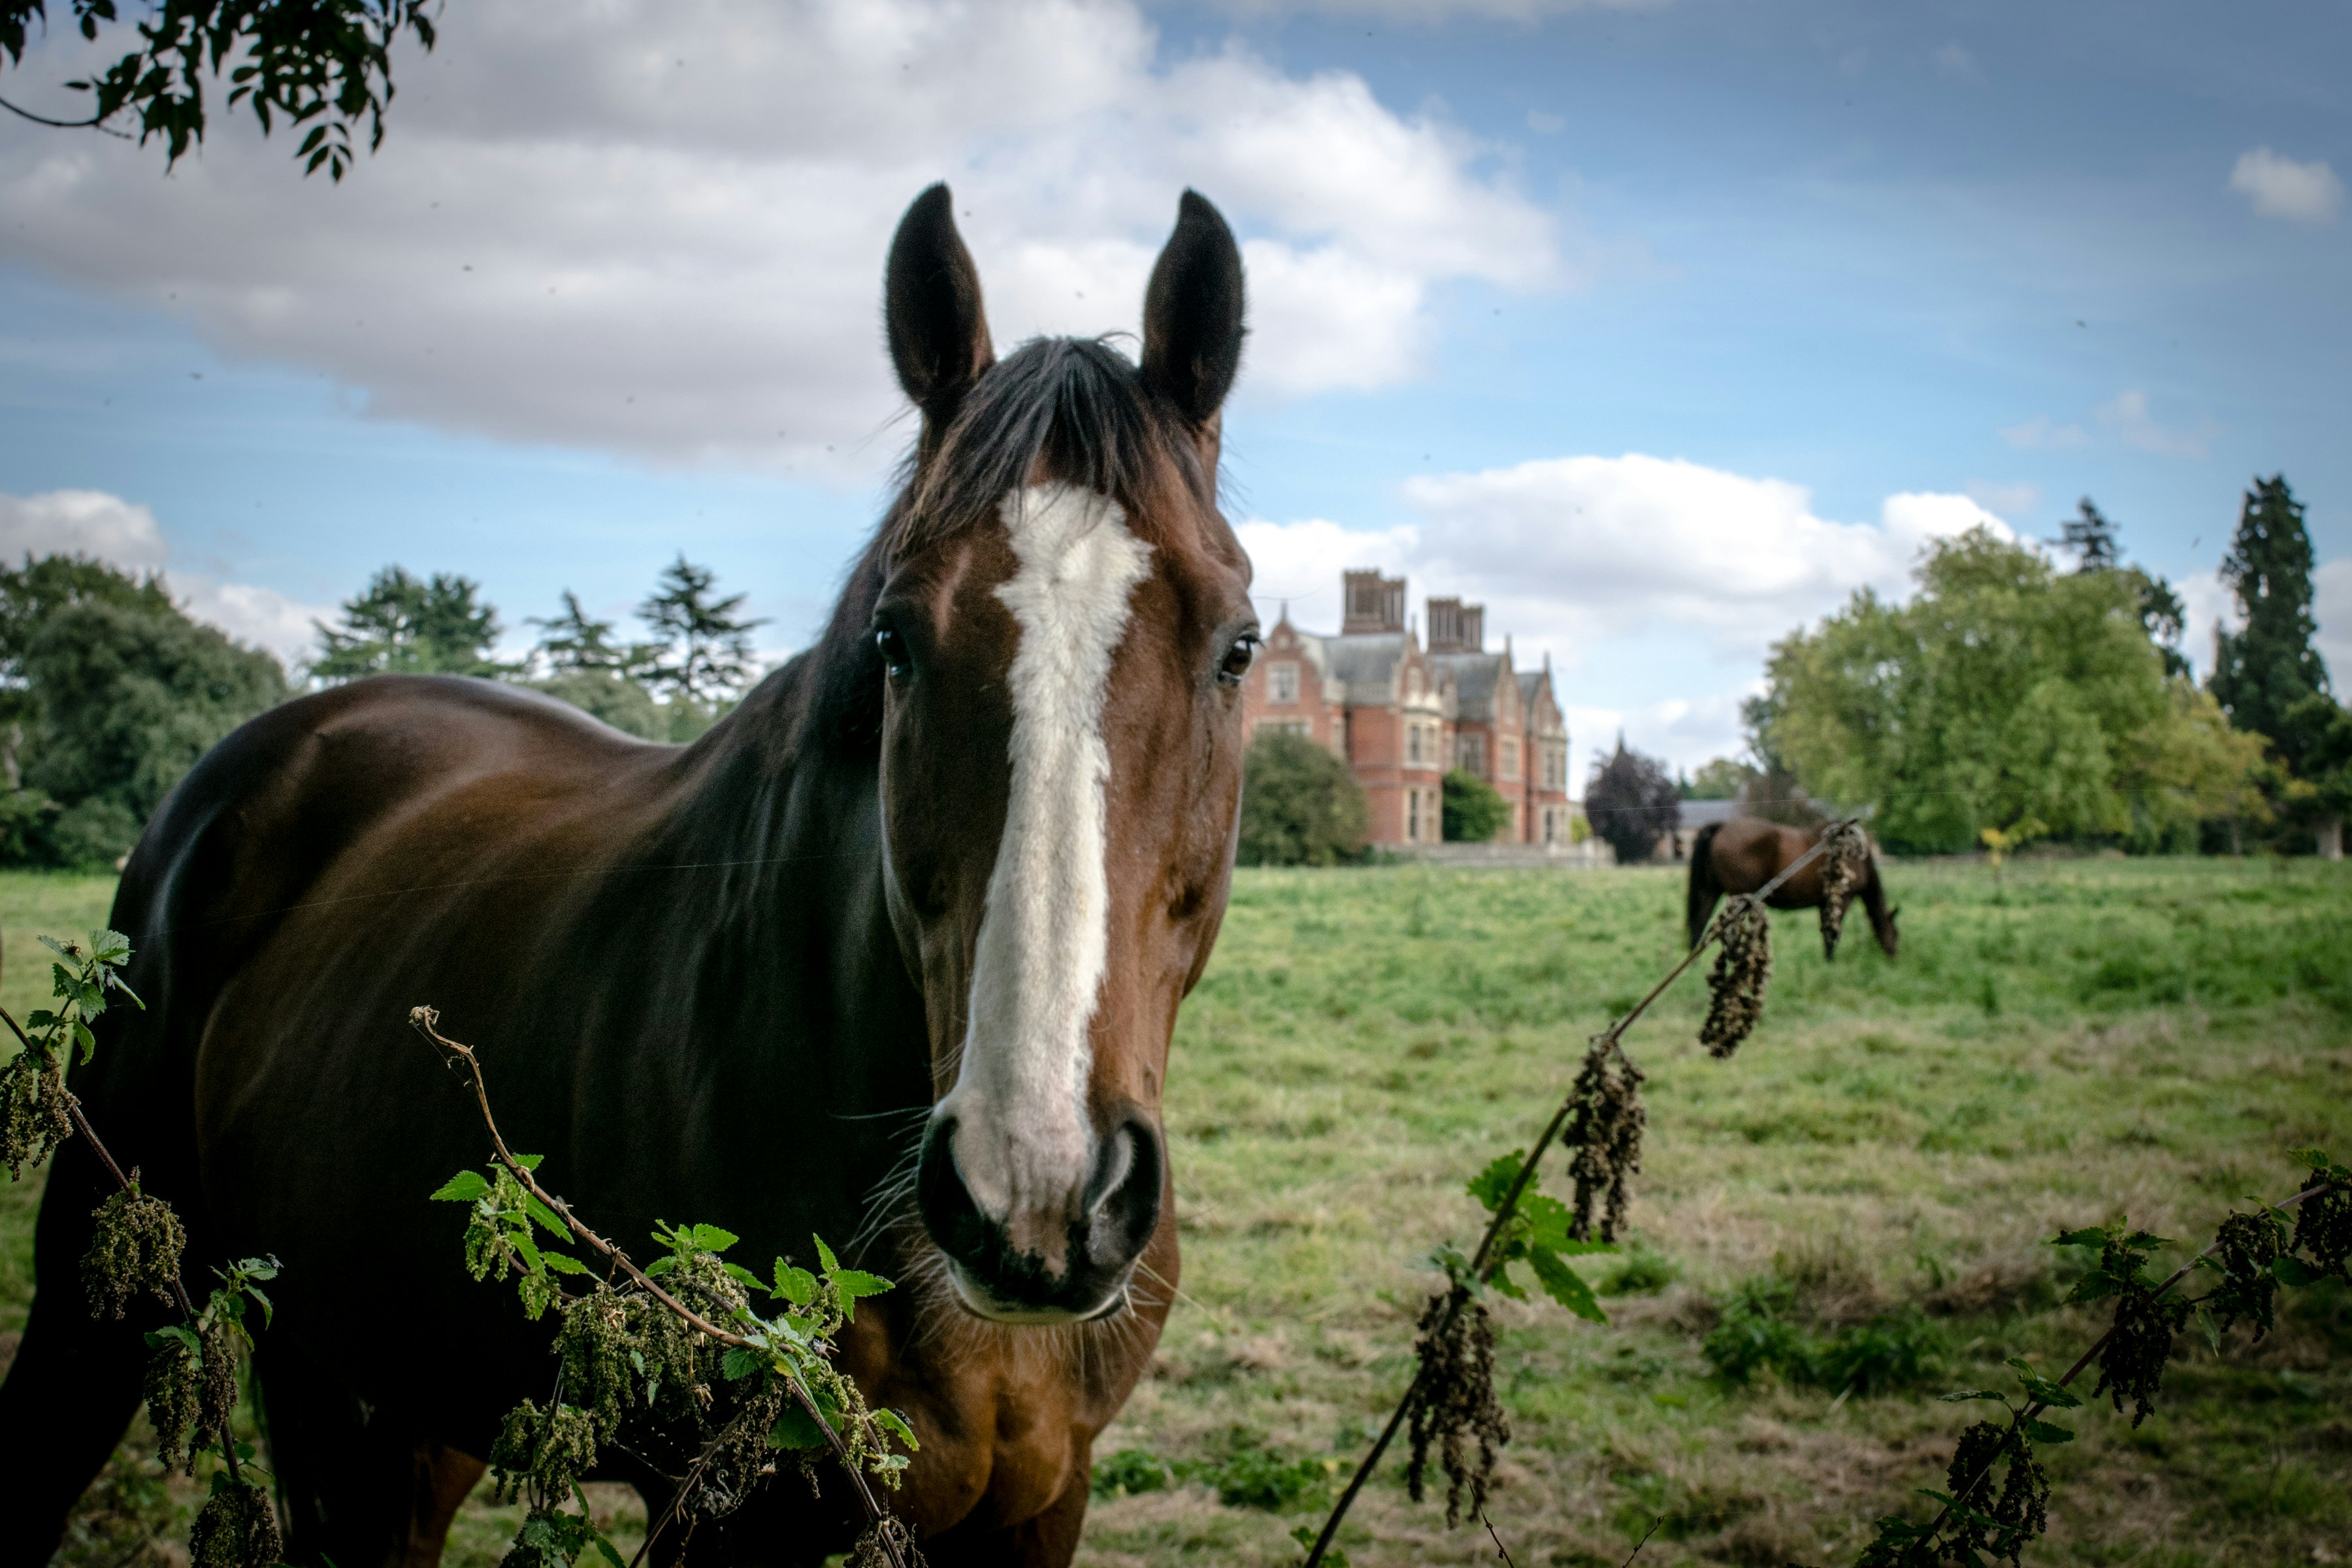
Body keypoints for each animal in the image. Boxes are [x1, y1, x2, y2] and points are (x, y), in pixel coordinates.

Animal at [0, 184, 1258, 1568]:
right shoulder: (731, 1508)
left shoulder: (1040, 1505)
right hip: (94, 1286)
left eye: (1238, 646)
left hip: (381, 1391)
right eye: (893, 640)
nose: (1033, 1188)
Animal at [1685, 817, 1899, 959]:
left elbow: (1825, 931)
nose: (1894, 958)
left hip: (1711, 891)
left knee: (1699, 923)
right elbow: (1831, 933)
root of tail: (1721, 825)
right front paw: (1830, 961)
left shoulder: (1824, 903)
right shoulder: (1842, 899)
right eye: (1896, 933)